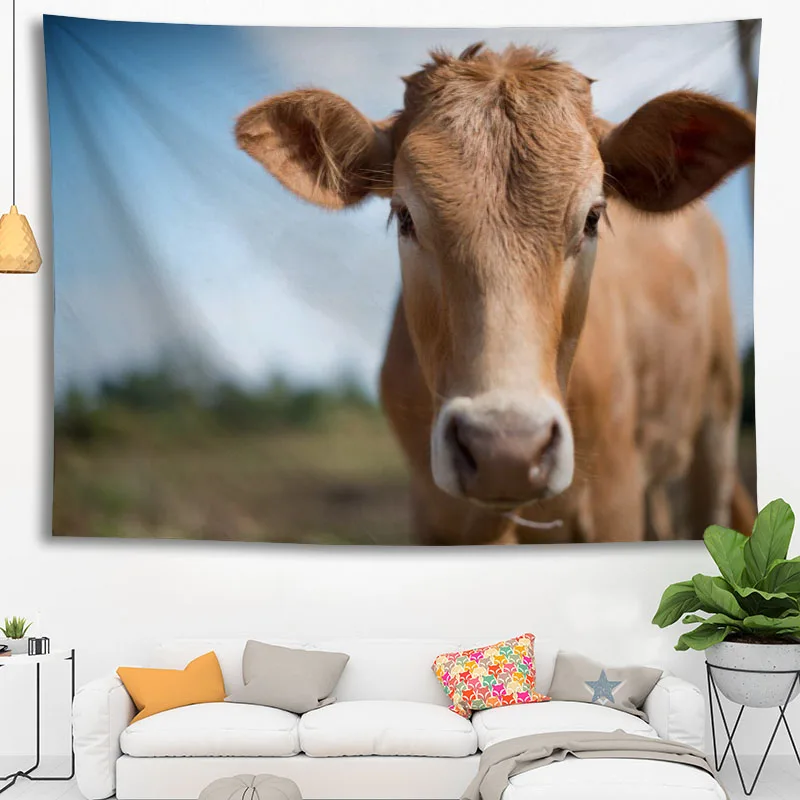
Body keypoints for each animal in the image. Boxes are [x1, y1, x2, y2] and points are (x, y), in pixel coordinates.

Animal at [235, 43, 757, 545]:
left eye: (592, 217)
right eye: (405, 216)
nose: (505, 449)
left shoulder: (615, 500)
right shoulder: (433, 515)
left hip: (718, 415)